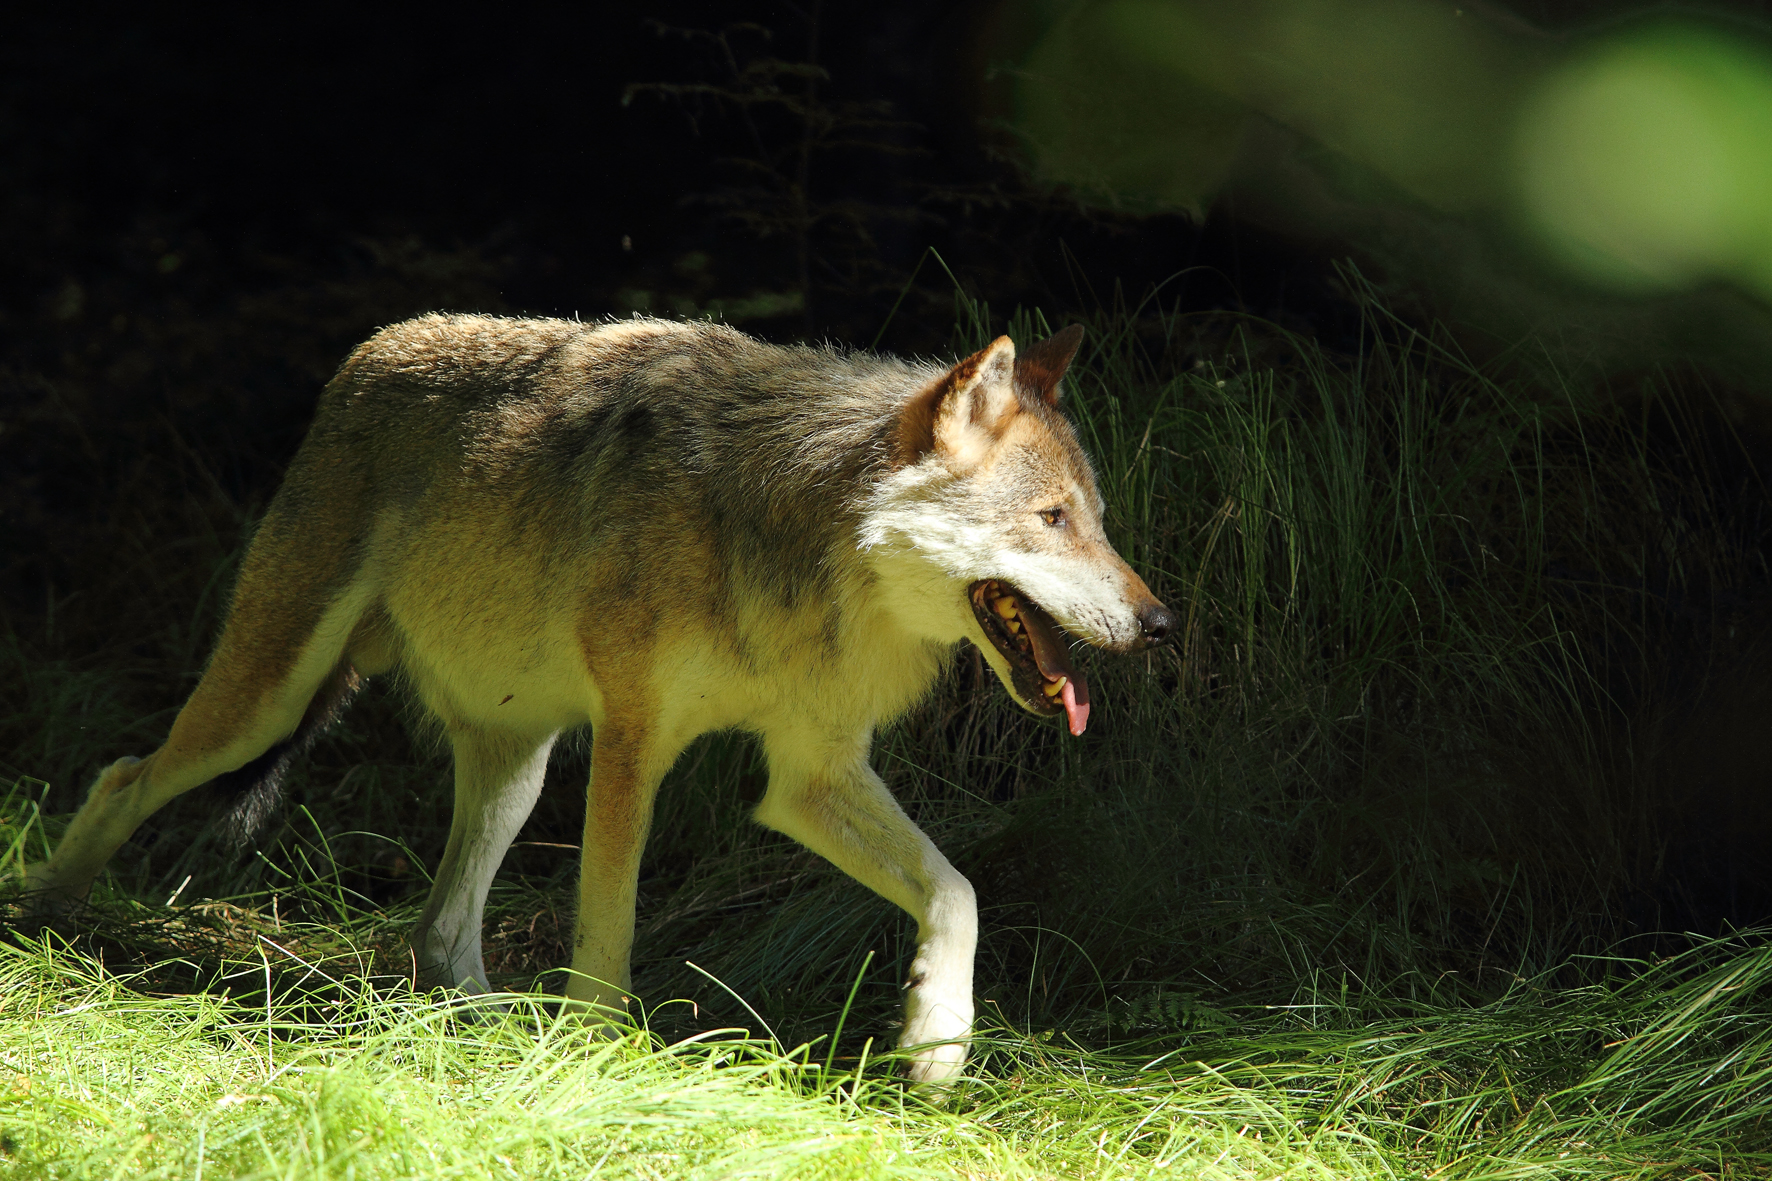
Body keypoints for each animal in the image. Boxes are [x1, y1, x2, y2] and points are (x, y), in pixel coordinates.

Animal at [24, 310, 1176, 1078]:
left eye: (1097, 520)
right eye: (1052, 519)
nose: (1161, 622)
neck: (805, 536)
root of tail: (367, 352)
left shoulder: (808, 775)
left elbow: (956, 889)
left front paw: (936, 1039)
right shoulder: (634, 740)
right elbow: (609, 926)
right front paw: (601, 1052)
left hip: (518, 766)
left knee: (438, 929)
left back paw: (483, 1031)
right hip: (264, 702)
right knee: (123, 772)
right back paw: (46, 920)